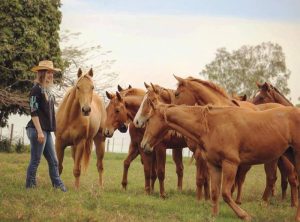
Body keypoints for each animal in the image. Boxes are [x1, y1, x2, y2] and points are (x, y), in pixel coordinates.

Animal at [140, 102, 300, 220]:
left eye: (148, 120)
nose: (143, 145)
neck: (212, 125)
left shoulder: (230, 164)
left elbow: (226, 193)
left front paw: (244, 215)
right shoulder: (214, 165)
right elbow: (215, 192)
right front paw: (214, 215)